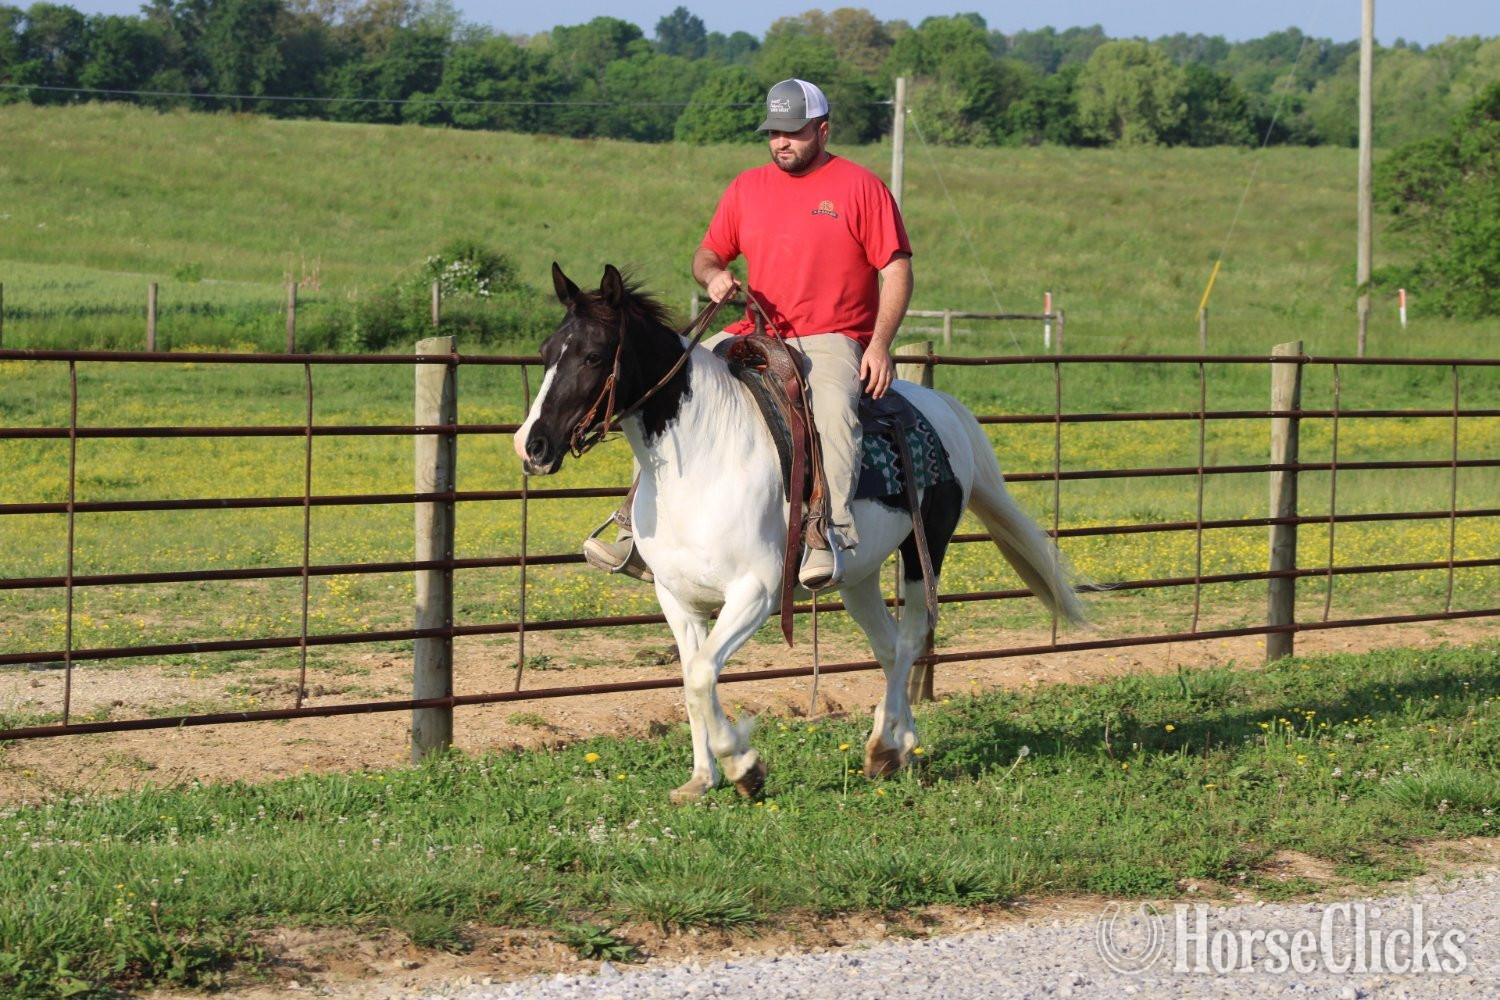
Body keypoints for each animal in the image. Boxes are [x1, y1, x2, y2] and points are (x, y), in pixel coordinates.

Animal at [514, 264, 1086, 802]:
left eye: (592, 356)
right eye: (545, 352)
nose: (531, 445)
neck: (705, 454)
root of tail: (944, 408)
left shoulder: (757, 593)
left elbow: (701, 675)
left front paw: (744, 767)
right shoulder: (677, 598)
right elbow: (693, 677)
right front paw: (702, 778)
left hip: (927, 548)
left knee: (909, 638)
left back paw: (883, 746)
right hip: (859, 574)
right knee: (886, 646)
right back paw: (900, 743)